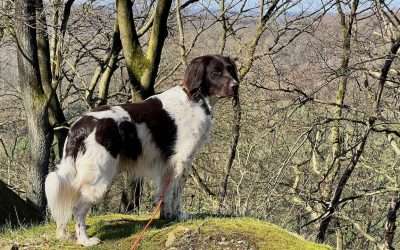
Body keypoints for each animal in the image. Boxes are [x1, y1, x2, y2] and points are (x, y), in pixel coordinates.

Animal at [44, 54, 238, 246]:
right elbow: (176, 193)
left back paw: (63, 235)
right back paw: (85, 240)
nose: (236, 85)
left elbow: (165, 194)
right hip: (98, 177)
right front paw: (179, 215)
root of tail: (79, 125)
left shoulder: (167, 165)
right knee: (77, 208)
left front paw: (167, 216)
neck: (195, 98)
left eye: (230, 69)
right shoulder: (182, 160)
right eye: (215, 72)